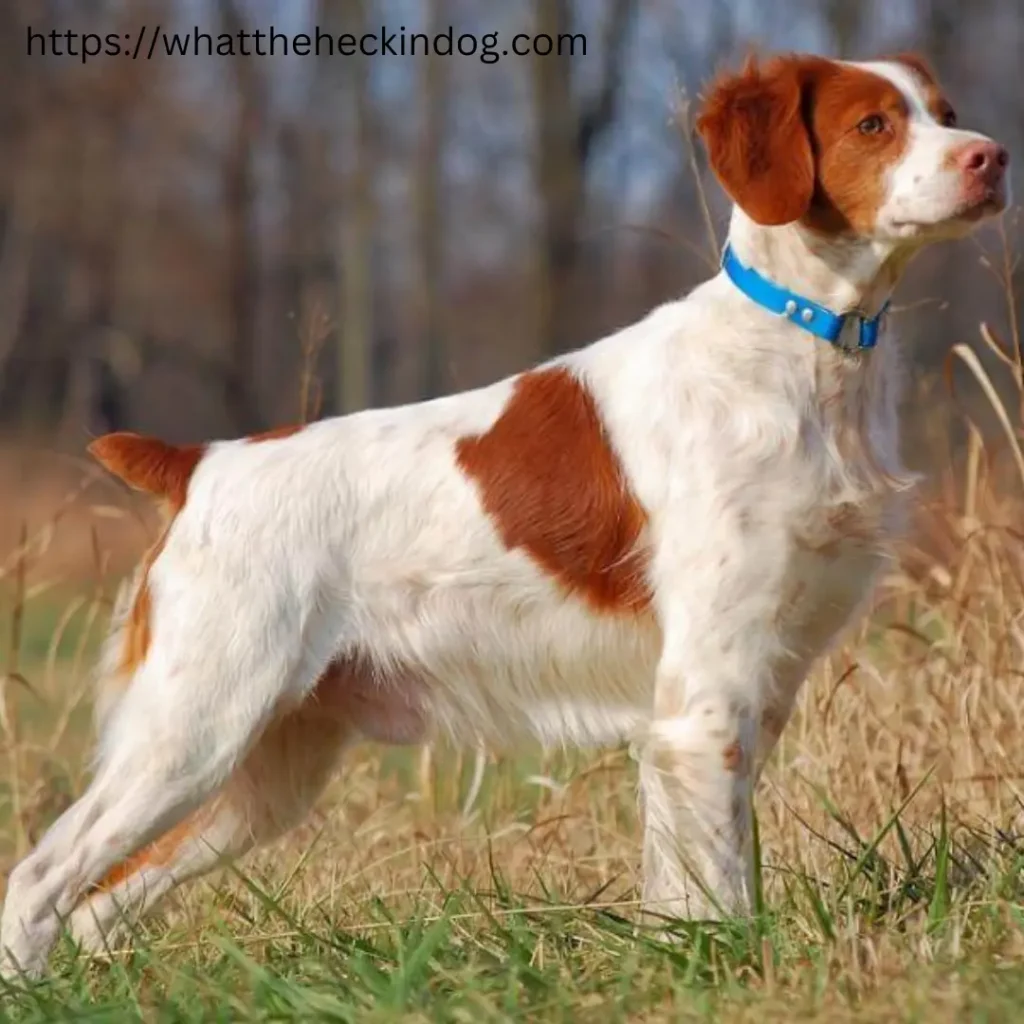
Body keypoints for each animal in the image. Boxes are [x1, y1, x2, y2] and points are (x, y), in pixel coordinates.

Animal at [0, 49, 1007, 974]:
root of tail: (200, 462)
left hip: (266, 768)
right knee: (39, 879)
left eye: (949, 112)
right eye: (873, 124)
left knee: (104, 901)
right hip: (195, 725)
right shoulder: (703, 698)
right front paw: (725, 967)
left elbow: (685, 875)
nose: (992, 157)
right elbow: (713, 886)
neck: (800, 353)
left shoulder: (739, 691)